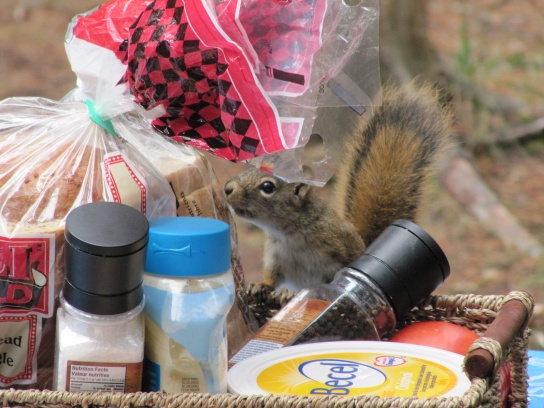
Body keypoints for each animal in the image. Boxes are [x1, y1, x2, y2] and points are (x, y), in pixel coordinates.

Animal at [223, 83, 452, 294]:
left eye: (268, 187)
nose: (227, 188)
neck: (289, 234)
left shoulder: (340, 247)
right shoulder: (275, 258)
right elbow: (272, 277)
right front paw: (260, 285)